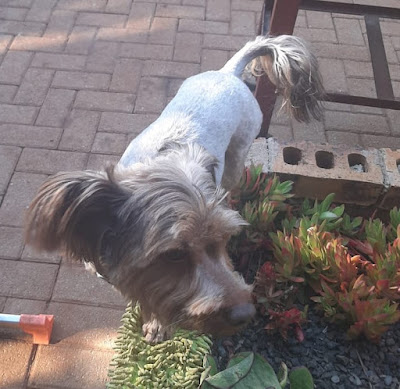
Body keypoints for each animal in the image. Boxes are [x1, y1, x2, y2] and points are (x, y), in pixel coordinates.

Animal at [24, 34, 324, 342]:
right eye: (174, 254)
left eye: (224, 240)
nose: (246, 314)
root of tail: (227, 73)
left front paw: (157, 324)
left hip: (238, 152)